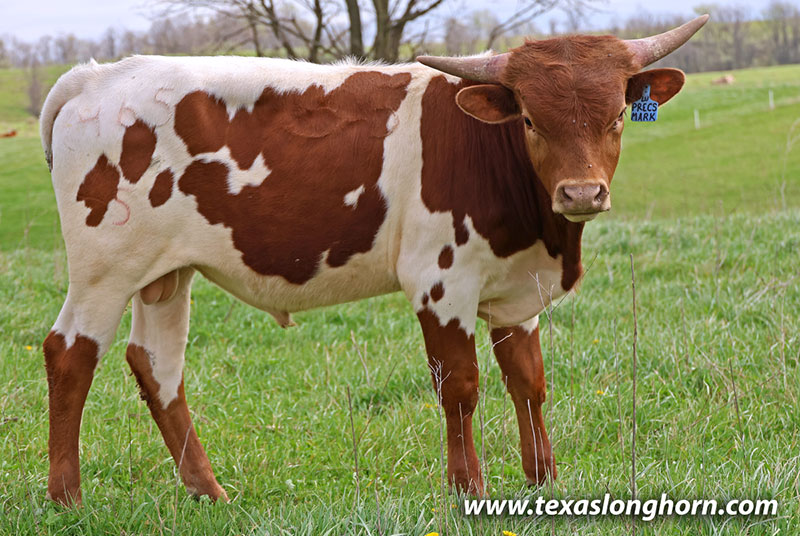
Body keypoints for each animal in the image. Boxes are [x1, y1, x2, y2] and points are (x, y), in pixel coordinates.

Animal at [38, 15, 707, 505]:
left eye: (616, 116)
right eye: (530, 118)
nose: (581, 194)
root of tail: (97, 77)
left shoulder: (518, 290)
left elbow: (529, 382)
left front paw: (544, 480)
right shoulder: (441, 282)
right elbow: (460, 387)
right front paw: (468, 489)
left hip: (164, 275)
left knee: (157, 365)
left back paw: (209, 492)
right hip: (103, 271)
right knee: (70, 353)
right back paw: (68, 496)